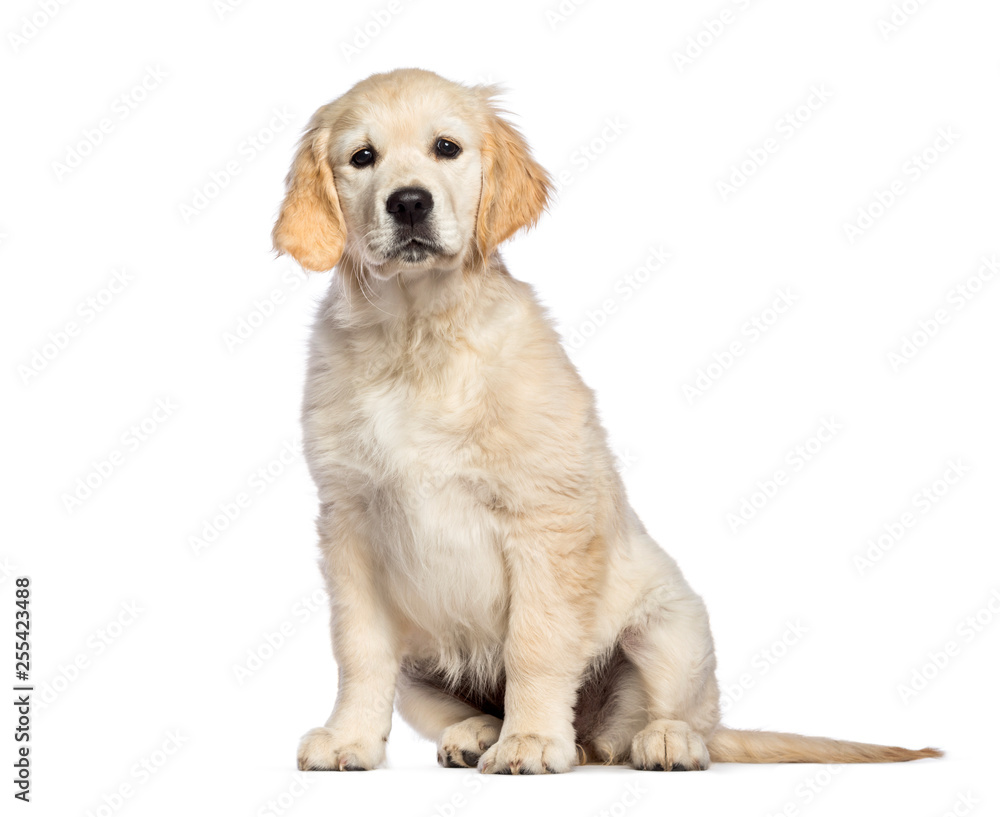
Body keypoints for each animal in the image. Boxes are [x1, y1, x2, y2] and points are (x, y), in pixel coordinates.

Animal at [272, 68, 936, 772]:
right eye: (362, 158)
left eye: (445, 148)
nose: (407, 204)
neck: (416, 333)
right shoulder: (349, 523)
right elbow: (358, 648)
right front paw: (351, 738)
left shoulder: (547, 518)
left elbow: (535, 642)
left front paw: (533, 739)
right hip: (421, 669)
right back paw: (478, 732)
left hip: (674, 628)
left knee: (669, 721)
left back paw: (662, 740)